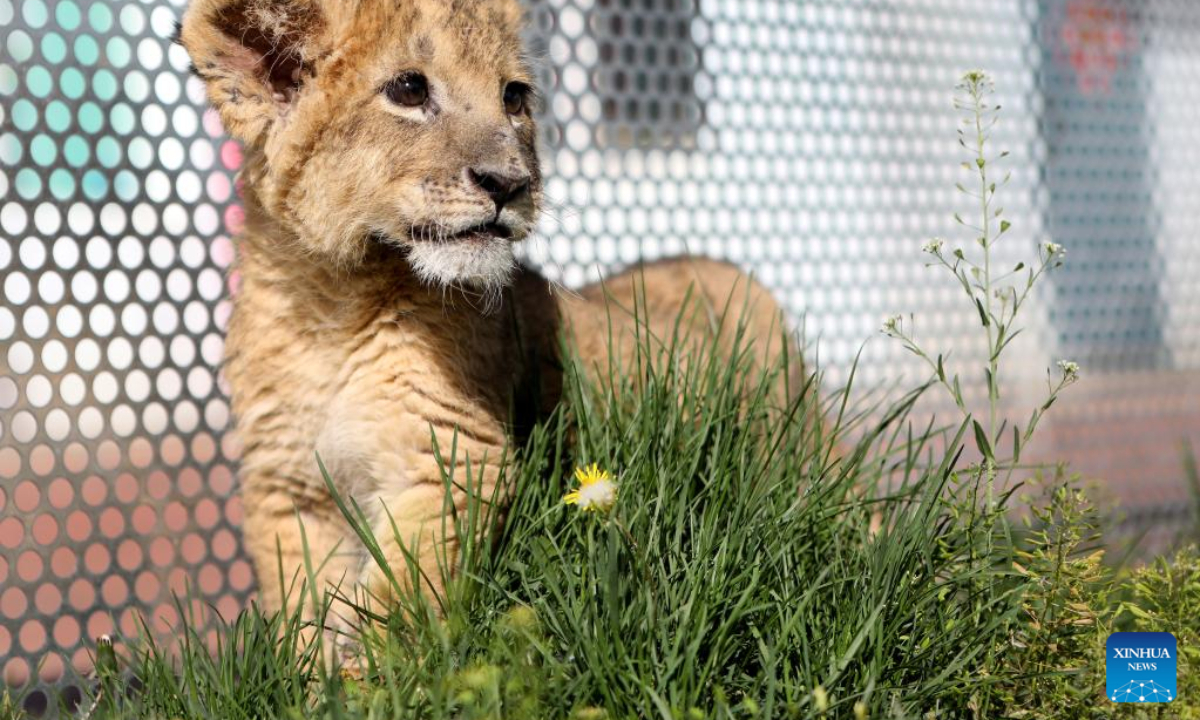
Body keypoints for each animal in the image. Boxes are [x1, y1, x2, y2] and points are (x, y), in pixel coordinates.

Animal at [179, 0, 801, 637]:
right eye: (409, 89)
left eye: (514, 97)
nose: (510, 183)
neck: (329, 304)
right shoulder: (288, 487)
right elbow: (305, 614)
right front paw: (315, 664)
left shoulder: (453, 453)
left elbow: (394, 604)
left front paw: (376, 665)